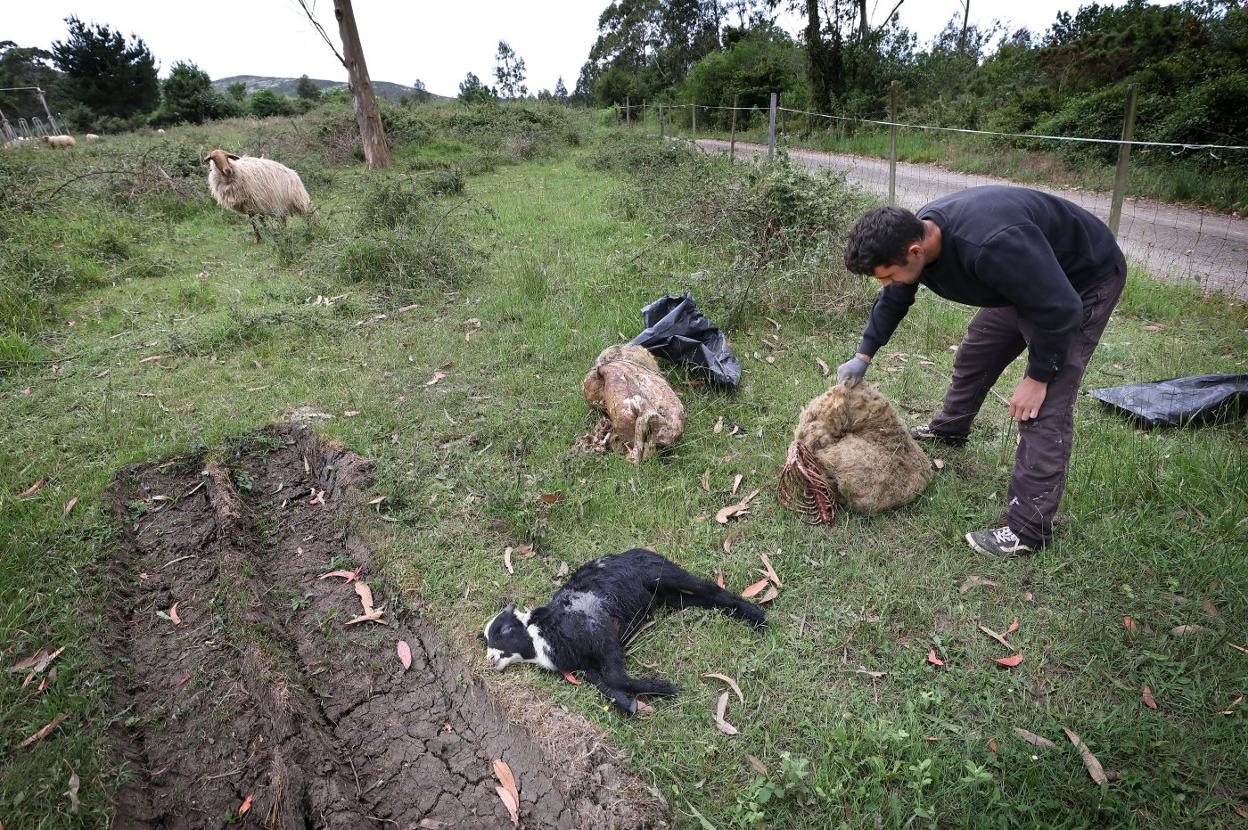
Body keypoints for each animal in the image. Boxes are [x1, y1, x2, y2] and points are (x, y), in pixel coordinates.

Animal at [481, 549, 763, 713]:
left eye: (504, 630)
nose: (489, 658)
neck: (542, 637)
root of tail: (641, 550)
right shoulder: (591, 664)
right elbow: (605, 683)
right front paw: (631, 703)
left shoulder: (604, 635)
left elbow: (615, 677)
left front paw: (663, 688)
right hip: (671, 596)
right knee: (706, 599)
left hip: (664, 575)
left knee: (711, 589)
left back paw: (758, 617)